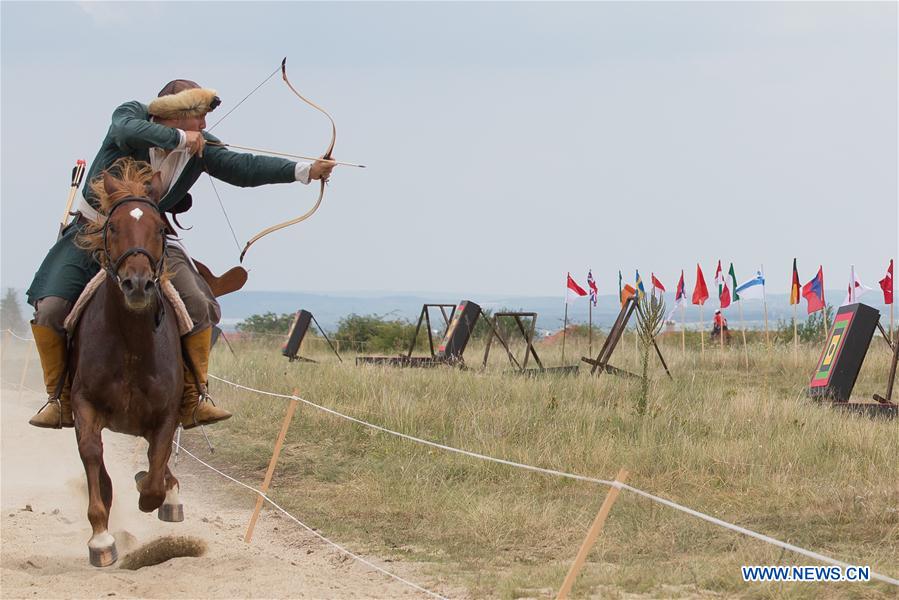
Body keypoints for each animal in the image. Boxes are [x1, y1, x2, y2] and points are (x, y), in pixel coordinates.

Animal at [69, 161, 185, 568]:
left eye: (161, 228)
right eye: (113, 227)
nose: (137, 284)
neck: (132, 347)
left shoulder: (167, 413)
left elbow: (154, 476)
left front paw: (160, 492)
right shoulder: (84, 406)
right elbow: (92, 457)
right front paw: (101, 539)